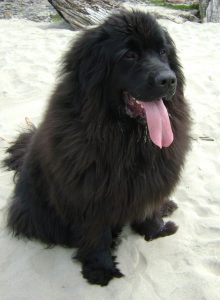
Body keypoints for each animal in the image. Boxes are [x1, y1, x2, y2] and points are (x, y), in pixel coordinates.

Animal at [3, 9, 191, 286]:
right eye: (129, 55)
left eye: (163, 52)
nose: (168, 80)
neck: (127, 138)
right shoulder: (90, 193)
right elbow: (96, 231)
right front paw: (100, 268)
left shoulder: (150, 177)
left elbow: (147, 207)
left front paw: (156, 230)